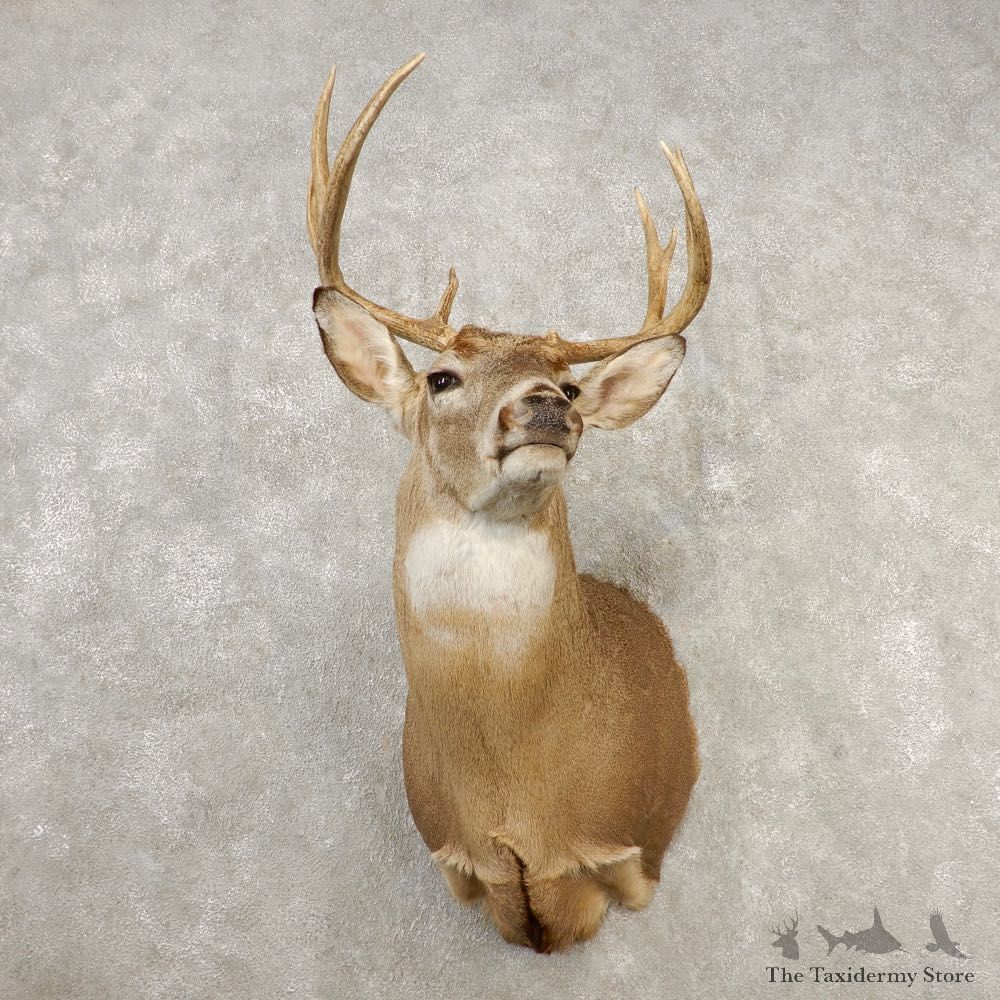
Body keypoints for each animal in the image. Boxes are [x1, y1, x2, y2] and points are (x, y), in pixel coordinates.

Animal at [306, 53, 711, 952]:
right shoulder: (453, 856)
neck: (511, 791)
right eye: (440, 378)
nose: (546, 405)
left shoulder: (626, 845)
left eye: (573, 387)